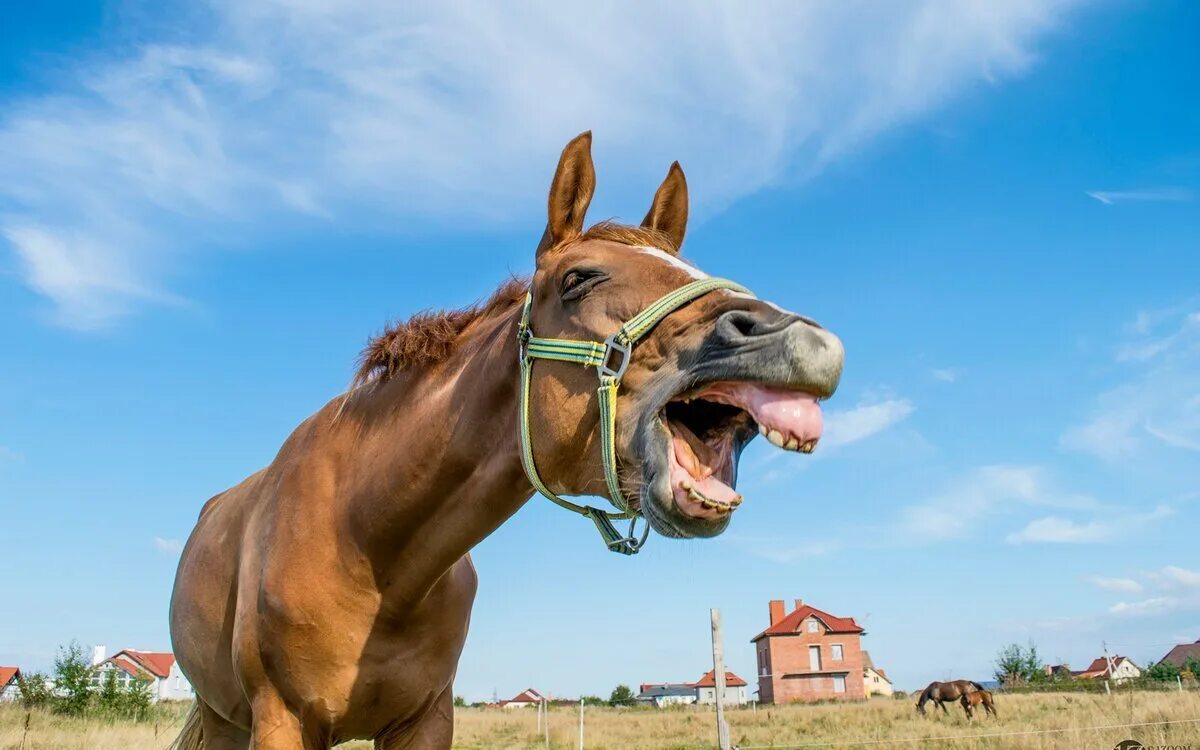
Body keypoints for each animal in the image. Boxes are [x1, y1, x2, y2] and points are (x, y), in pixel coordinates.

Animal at [166, 134, 844, 748]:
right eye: (579, 278)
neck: (369, 550)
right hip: (226, 720)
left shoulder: (427, 720)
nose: (806, 341)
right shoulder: (280, 720)